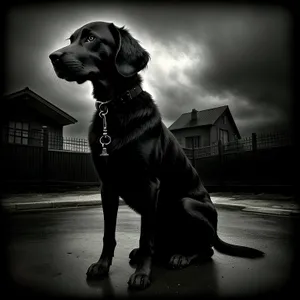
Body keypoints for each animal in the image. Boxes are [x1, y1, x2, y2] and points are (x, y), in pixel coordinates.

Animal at [49, 21, 264, 290]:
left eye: (90, 38)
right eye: (71, 39)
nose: (53, 57)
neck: (115, 108)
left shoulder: (149, 185)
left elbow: (145, 237)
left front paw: (142, 274)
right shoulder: (107, 186)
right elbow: (109, 233)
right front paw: (102, 265)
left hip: (187, 204)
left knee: (207, 250)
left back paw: (181, 256)